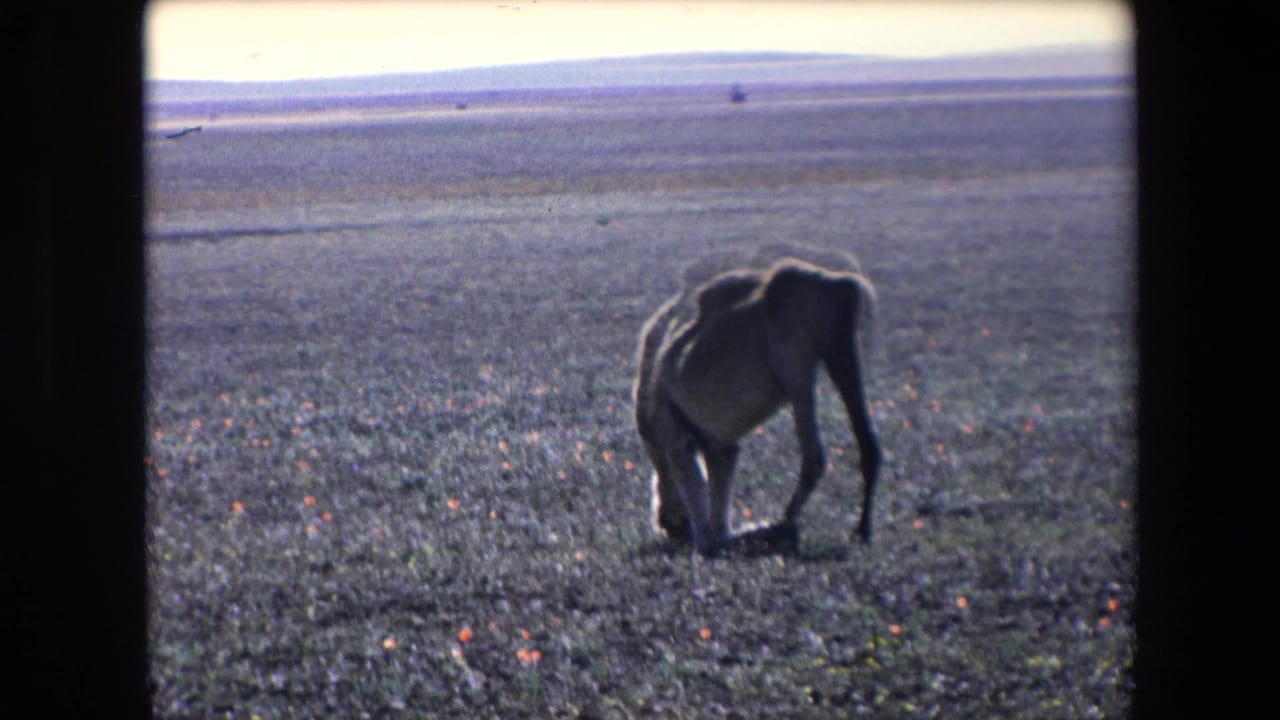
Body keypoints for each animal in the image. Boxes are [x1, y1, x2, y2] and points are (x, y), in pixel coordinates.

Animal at [634, 252, 882, 556]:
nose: (671, 527)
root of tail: (841, 285)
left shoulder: (676, 434)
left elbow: (711, 536)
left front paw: (753, 532)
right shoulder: (720, 445)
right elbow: (718, 518)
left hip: (795, 364)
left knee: (814, 457)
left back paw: (783, 525)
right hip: (839, 351)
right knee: (867, 444)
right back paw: (860, 529)